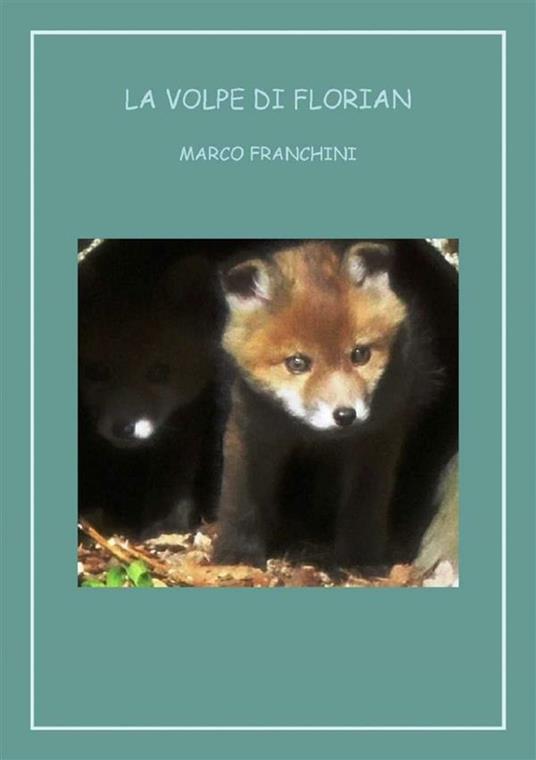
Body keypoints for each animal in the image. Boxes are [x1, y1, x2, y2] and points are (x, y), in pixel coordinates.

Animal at [214, 239, 458, 568]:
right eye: (297, 363)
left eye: (360, 355)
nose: (345, 415)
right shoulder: (250, 426)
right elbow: (240, 499)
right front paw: (236, 554)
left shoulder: (378, 434)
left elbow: (363, 504)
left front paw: (359, 558)